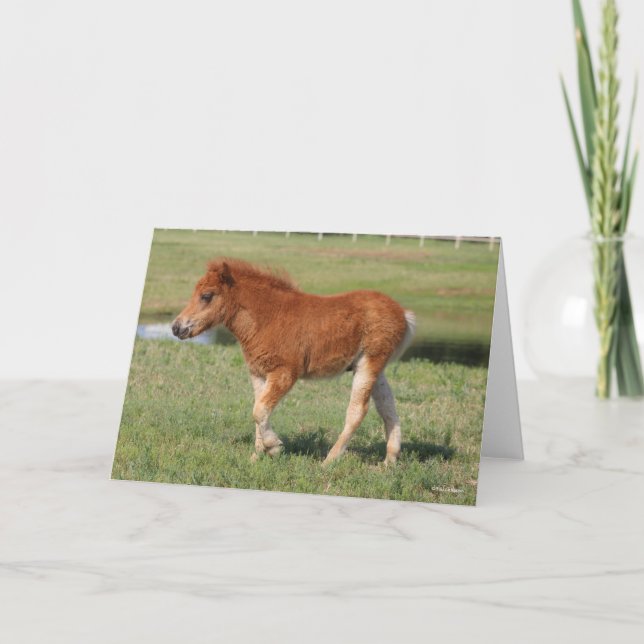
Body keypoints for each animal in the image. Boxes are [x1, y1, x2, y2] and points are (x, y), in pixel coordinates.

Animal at [171, 258, 416, 465]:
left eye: (206, 295)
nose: (176, 328)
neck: (267, 318)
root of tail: (403, 313)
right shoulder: (258, 373)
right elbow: (258, 410)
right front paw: (257, 456)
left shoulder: (285, 373)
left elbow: (259, 410)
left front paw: (274, 447)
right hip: (374, 368)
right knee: (388, 408)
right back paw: (389, 462)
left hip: (369, 363)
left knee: (357, 411)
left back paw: (330, 461)